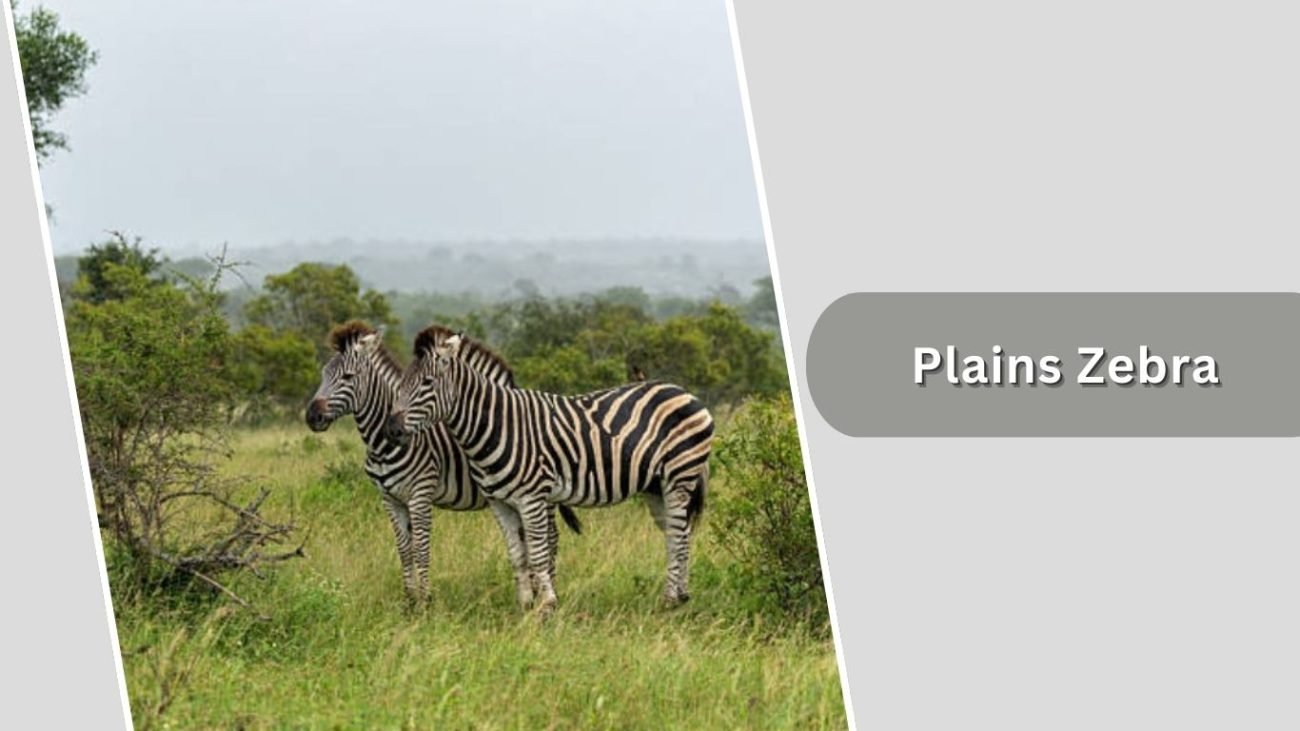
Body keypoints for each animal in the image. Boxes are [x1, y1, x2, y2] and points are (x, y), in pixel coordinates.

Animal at [304, 321, 581, 608]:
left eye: (347, 377)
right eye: (323, 374)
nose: (312, 416)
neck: (382, 446)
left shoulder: (420, 495)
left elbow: (421, 549)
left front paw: (425, 602)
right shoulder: (390, 499)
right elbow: (404, 550)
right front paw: (409, 602)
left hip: (541, 497)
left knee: (551, 538)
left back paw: (546, 592)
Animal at [384, 327, 713, 616]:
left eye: (427, 383)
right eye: (401, 383)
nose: (392, 430)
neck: (499, 425)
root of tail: (681, 391)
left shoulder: (532, 498)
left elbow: (539, 552)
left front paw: (547, 607)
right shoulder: (500, 503)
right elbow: (518, 555)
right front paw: (524, 606)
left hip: (679, 476)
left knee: (679, 534)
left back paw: (670, 600)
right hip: (656, 486)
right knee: (677, 533)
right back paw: (679, 596)